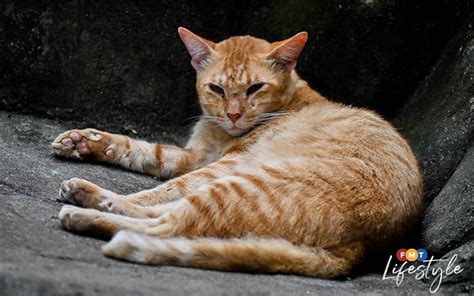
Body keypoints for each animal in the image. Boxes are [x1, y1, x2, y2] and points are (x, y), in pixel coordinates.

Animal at [51, 27, 422, 278]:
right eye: (216, 88)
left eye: (255, 88)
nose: (232, 115)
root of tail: (361, 244)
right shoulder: (194, 157)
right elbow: (142, 150)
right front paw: (83, 141)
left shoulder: (221, 162)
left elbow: (163, 188)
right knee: (166, 215)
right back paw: (87, 195)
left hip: (239, 182)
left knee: (165, 224)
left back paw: (87, 209)